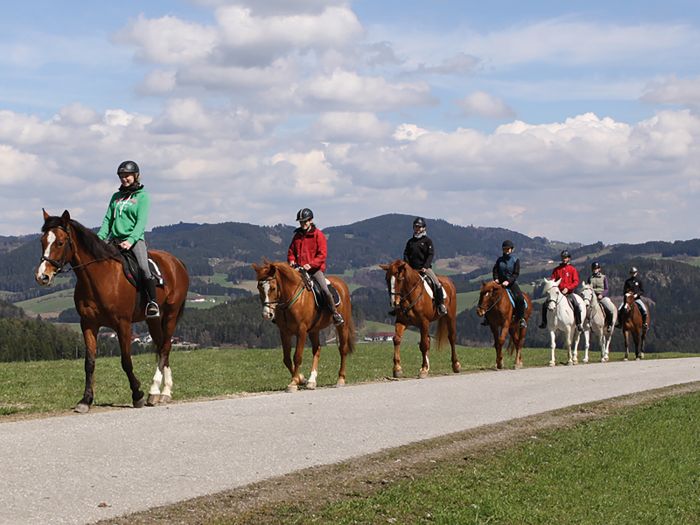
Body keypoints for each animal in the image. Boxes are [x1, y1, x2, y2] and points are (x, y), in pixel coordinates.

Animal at [35, 211, 189, 412]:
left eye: (60, 242)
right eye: (42, 241)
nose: (42, 276)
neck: (99, 276)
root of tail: (177, 262)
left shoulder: (123, 324)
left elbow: (126, 361)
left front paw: (137, 394)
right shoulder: (88, 324)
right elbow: (89, 363)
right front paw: (85, 400)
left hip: (171, 313)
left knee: (165, 347)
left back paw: (155, 391)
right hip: (153, 319)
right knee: (163, 345)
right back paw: (164, 392)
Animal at [252, 260, 356, 390]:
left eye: (273, 288)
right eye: (259, 287)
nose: (267, 314)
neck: (291, 298)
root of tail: (342, 284)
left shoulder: (301, 331)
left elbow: (297, 356)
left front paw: (294, 382)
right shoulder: (285, 332)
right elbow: (286, 359)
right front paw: (301, 379)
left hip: (342, 326)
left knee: (343, 349)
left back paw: (341, 379)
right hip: (314, 330)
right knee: (317, 350)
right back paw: (311, 381)